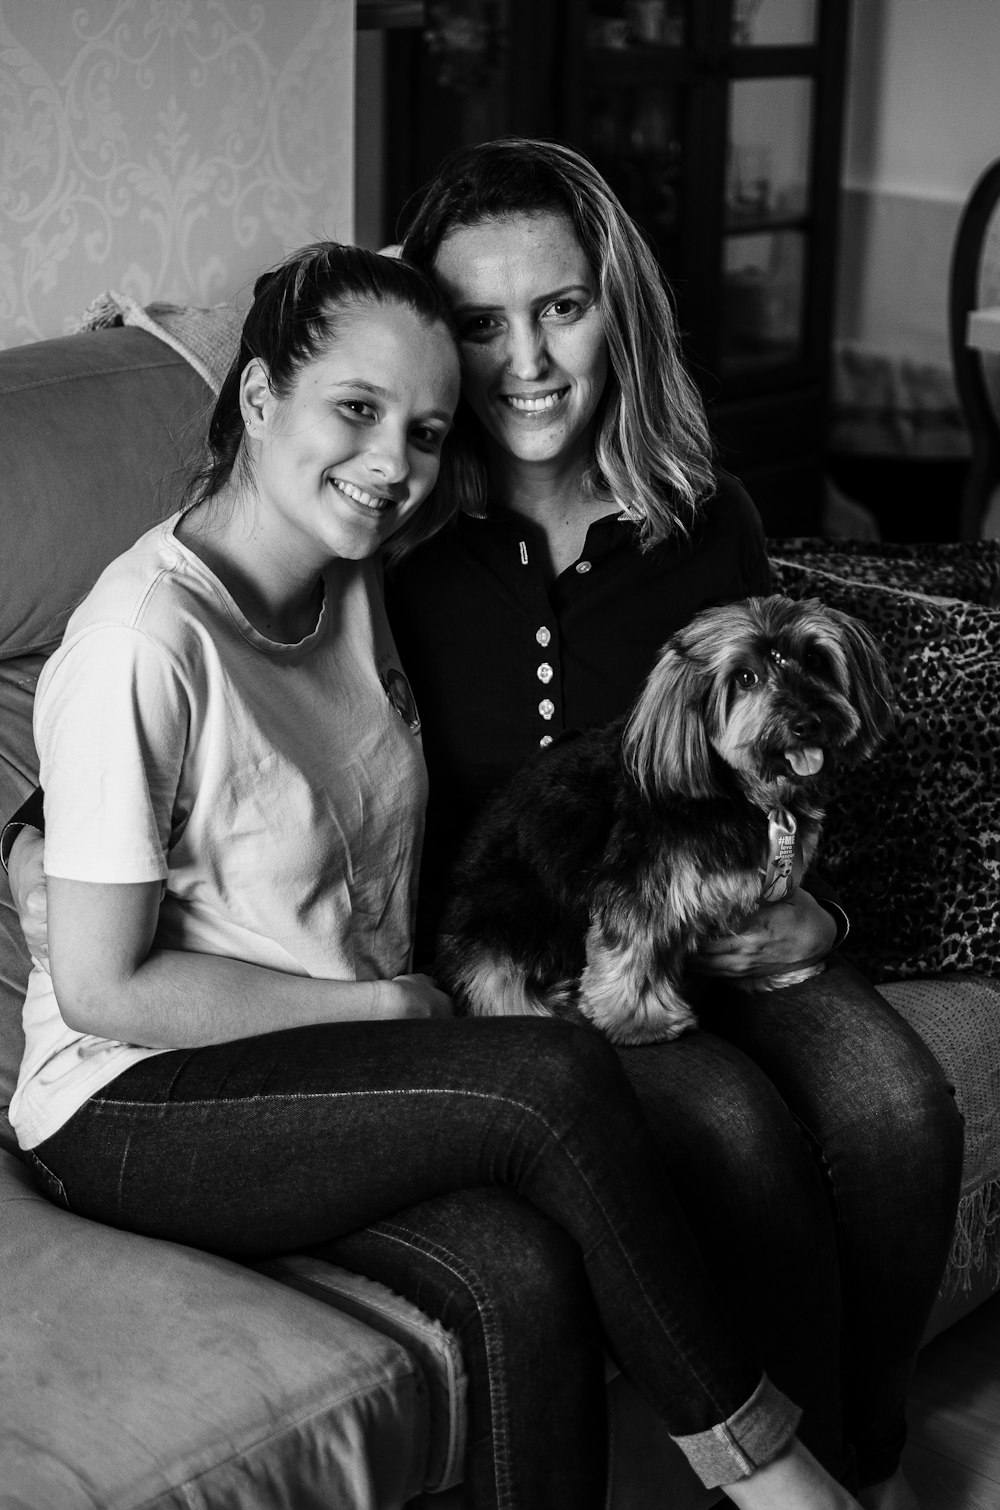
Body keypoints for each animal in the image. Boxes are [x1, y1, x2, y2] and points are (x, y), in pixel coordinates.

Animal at [444, 594, 894, 1044]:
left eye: (815, 659)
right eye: (745, 677)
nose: (806, 722)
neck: (744, 791)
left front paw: (778, 972)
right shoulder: (642, 884)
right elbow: (634, 951)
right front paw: (640, 1021)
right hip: (503, 924)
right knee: (497, 984)